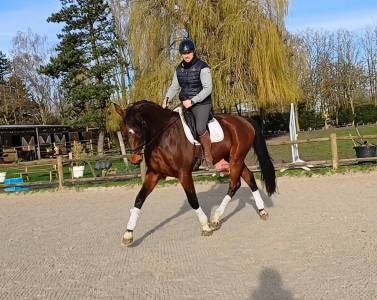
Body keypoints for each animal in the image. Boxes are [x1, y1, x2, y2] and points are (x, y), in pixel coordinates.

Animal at [113, 101, 274, 246]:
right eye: (124, 127)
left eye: (142, 124)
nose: (135, 159)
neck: (163, 136)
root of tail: (244, 120)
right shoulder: (154, 173)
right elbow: (139, 199)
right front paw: (128, 234)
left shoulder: (184, 173)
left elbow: (192, 199)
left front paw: (205, 227)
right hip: (234, 159)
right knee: (249, 178)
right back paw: (262, 211)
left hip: (236, 159)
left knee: (235, 184)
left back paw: (215, 219)